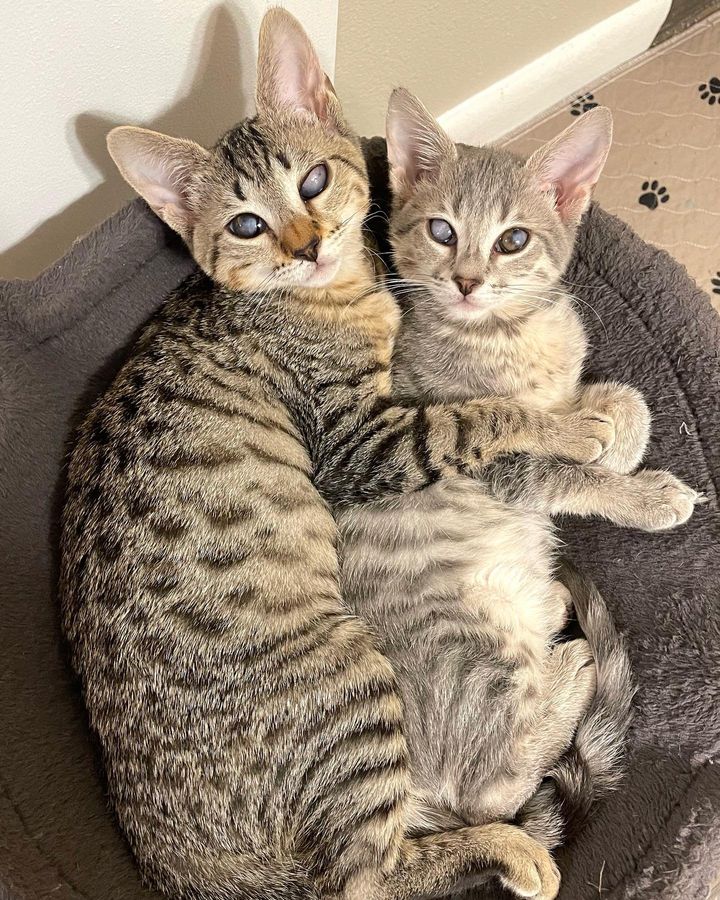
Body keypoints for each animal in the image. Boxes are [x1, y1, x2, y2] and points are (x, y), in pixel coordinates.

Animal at [59, 8, 616, 900]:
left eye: (315, 182)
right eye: (246, 225)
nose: (306, 244)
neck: (330, 297)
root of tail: (187, 871)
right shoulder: (359, 441)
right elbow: (474, 416)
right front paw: (577, 428)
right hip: (352, 678)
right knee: (372, 872)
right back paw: (524, 818)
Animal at [340, 89, 700, 852]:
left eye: (513, 240)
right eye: (441, 231)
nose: (467, 281)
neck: (506, 334)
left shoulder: (562, 390)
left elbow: (621, 399)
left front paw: (618, 439)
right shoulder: (482, 461)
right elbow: (561, 472)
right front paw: (643, 492)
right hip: (473, 654)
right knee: (491, 793)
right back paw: (572, 668)